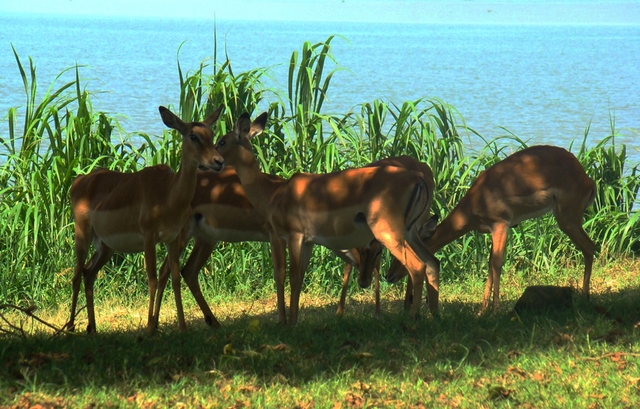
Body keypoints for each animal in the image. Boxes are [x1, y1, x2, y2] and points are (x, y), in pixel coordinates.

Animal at [68, 105, 224, 332]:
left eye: (212, 134)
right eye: (193, 135)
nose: (218, 161)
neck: (168, 196)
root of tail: (77, 181)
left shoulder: (173, 237)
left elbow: (174, 278)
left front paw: (182, 327)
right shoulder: (149, 237)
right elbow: (151, 279)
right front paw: (150, 327)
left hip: (106, 245)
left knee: (89, 273)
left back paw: (92, 329)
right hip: (82, 232)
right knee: (76, 274)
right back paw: (70, 327)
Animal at [215, 112, 440, 326]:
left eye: (222, 141)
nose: (215, 162)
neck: (274, 193)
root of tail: (419, 178)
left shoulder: (292, 236)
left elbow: (291, 276)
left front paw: (288, 323)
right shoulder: (307, 241)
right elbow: (300, 277)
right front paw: (294, 320)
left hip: (389, 233)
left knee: (417, 267)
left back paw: (413, 318)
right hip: (409, 233)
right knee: (432, 262)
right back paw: (433, 315)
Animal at [384, 146, 600, 312]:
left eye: (404, 255)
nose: (389, 275)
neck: (476, 200)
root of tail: (589, 180)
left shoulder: (501, 224)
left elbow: (497, 263)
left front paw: (495, 311)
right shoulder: (492, 230)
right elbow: (489, 264)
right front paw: (481, 311)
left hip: (567, 218)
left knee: (590, 247)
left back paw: (585, 297)